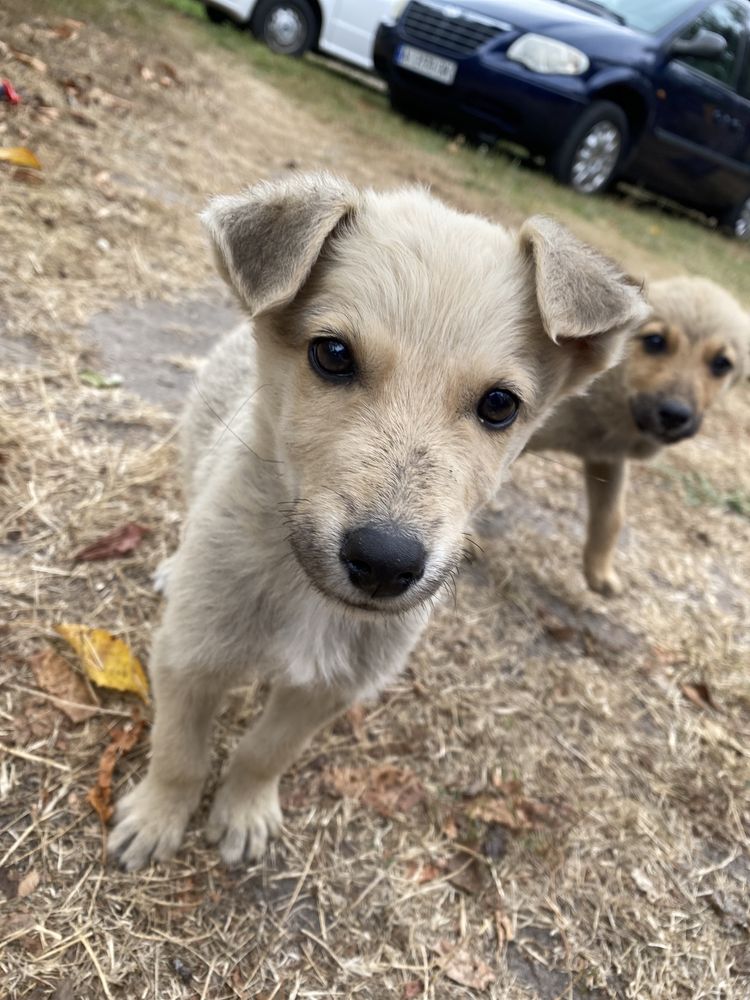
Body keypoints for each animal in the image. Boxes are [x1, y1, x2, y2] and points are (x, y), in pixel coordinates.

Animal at [106, 172, 648, 868]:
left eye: (500, 405)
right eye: (334, 355)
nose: (385, 563)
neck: (303, 593)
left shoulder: (330, 689)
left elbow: (263, 752)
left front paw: (244, 808)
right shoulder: (190, 655)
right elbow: (180, 753)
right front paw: (156, 818)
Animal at [528, 276, 750, 592]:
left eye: (721, 363)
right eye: (655, 341)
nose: (675, 415)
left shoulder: (608, 459)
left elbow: (612, 517)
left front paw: (599, 573)